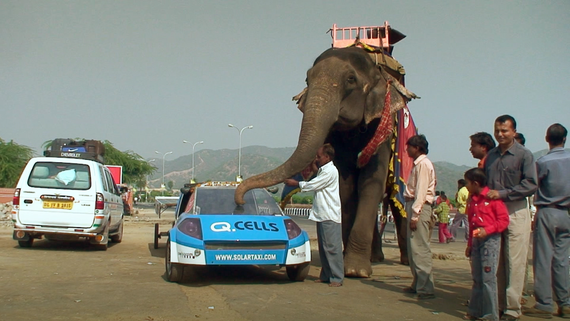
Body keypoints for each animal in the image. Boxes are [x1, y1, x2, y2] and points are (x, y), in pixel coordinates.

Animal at [233, 45, 414, 278]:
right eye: (307, 79)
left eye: (350, 79)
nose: (240, 201)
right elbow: (346, 186)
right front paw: (348, 265)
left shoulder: (383, 126)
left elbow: (371, 182)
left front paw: (356, 271)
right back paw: (375, 258)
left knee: (397, 203)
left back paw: (405, 262)